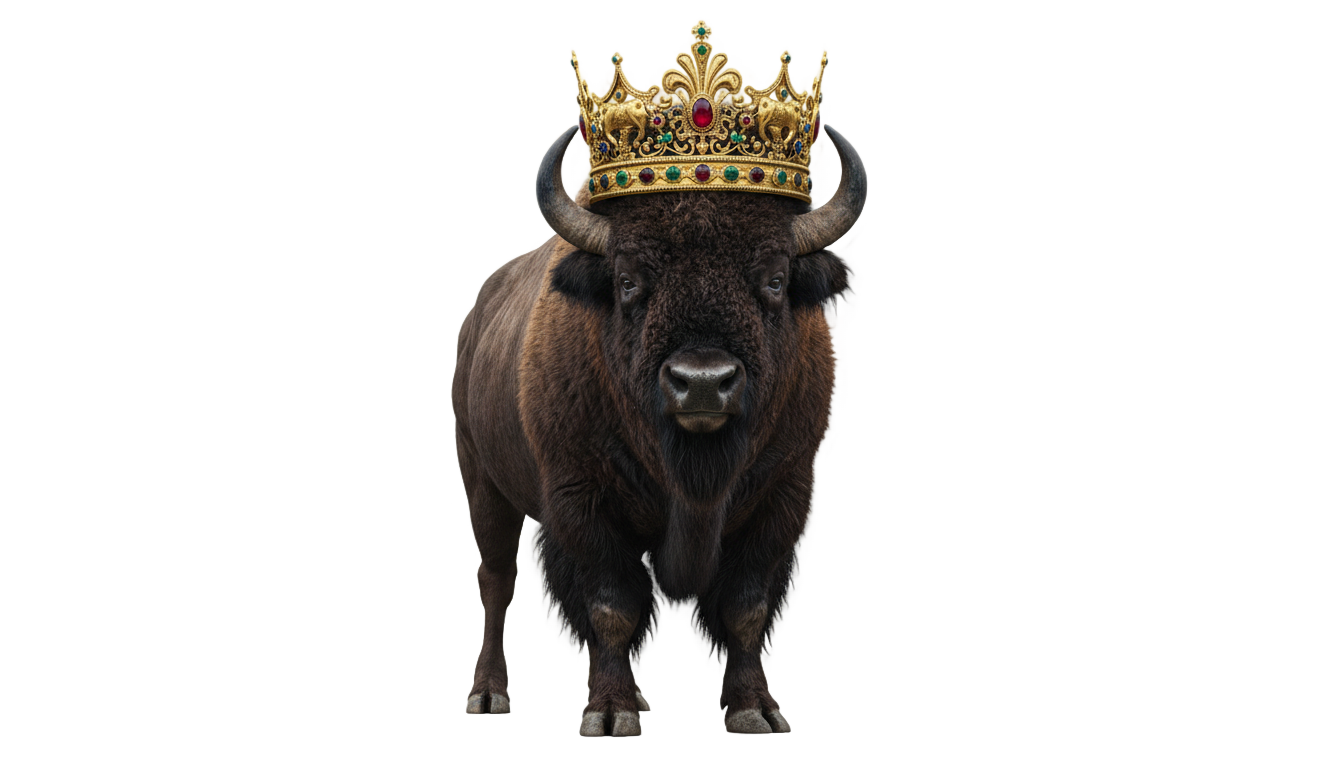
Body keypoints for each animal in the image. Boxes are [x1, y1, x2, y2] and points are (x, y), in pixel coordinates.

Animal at [453, 124, 866, 736]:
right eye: (627, 281)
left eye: (775, 279)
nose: (702, 383)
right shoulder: (581, 500)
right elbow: (612, 608)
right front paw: (611, 715)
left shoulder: (784, 496)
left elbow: (745, 609)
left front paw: (756, 710)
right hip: (484, 484)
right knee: (496, 580)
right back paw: (488, 696)